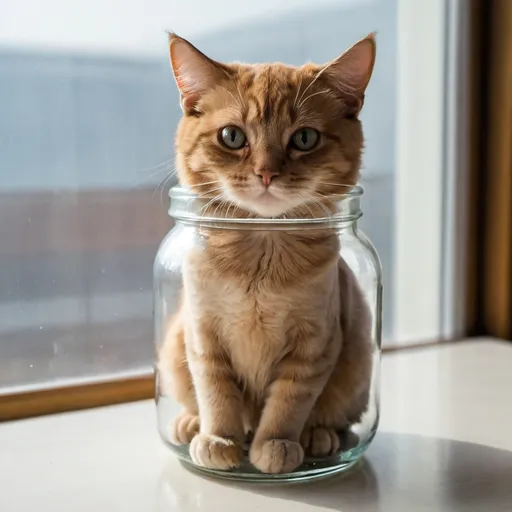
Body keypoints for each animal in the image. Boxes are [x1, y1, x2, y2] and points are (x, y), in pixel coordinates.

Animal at [158, 31, 378, 472]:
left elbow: (288, 403)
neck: (260, 257)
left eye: (305, 139)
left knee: (338, 418)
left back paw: (321, 437)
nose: (266, 173)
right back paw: (189, 424)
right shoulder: (203, 336)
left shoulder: (314, 346)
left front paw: (276, 444)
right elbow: (217, 396)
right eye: (232, 136)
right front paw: (219, 440)